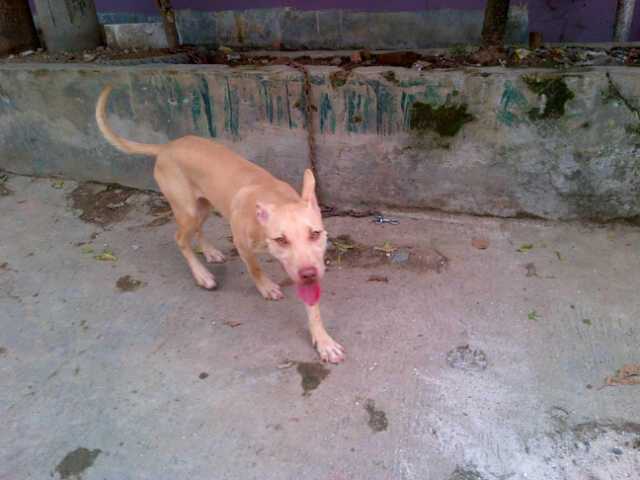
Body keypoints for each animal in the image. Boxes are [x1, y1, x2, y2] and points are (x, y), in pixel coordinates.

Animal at [96, 86, 344, 364]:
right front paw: (267, 287)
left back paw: (210, 251)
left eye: (315, 234)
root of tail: (167, 146)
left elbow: (313, 308)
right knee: (180, 239)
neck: (275, 199)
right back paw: (202, 275)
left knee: (197, 230)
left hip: (203, 206)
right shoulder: (242, 244)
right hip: (187, 210)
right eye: (281, 240)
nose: (309, 274)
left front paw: (323, 341)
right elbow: (255, 268)